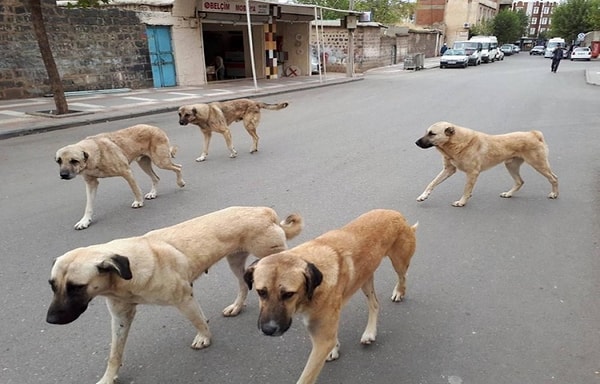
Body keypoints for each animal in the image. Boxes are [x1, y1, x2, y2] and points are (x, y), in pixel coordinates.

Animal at [45, 207, 304, 384]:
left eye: (76, 287)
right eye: (52, 285)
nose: (51, 320)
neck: (126, 273)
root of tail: (264, 210)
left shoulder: (184, 298)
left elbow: (197, 320)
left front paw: (204, 337)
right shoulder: (120, 317)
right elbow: (114, 353)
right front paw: (108, 377)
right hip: (236, 261)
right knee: (243, 286)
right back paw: (236, 306)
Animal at [55, 124, 185, 230]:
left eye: (74, 161)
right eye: (59, 161)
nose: (63, 175)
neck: (95, 154)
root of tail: (155, 127)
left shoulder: (127, 172)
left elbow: (135, 189)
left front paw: (138, 201)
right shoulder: (91, 183)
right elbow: (88, 205)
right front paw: (85, 221)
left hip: (161, 161)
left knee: (178, 167)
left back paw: (181, 182)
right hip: (144, 163)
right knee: (156, 178)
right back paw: (153, 193)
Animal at [244, 208, 418, 384]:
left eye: (288, 294)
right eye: (261, 292)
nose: (268, 329)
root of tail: (395, 213)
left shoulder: (321, 341)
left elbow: (306, 378)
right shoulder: (324, 330)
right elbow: (333, 336)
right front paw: (334, 349)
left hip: (399, 262)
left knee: (403, 276)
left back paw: (399, 291)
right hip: (365, 278)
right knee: (374, 304)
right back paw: (370, 332)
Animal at [414, 122, 560, 207]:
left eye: (432, 133)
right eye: (426, 132)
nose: (415, 142)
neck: (457, 144)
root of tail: (533, 133)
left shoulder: (472, 173)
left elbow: (466, 189)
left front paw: (462, 202)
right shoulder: (448, 170)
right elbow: (432, 183)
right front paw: (423, 196)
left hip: (538, 164)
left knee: (554, 178)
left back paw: (554, 194)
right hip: (511, 165)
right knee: (520, 182)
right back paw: (508, 194)